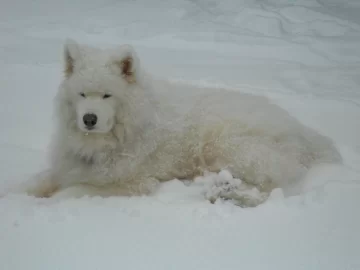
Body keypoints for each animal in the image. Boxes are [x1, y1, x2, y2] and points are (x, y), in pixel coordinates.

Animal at [18, 38, 342, 207]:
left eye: (107, 95)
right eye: (83, 94)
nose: (89, 119)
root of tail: (301, 130)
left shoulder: (134, 183)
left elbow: (71, 192)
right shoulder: (67, 165)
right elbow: (34, 183)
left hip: (230, 145)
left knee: (272, 190)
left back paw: (223, 193)